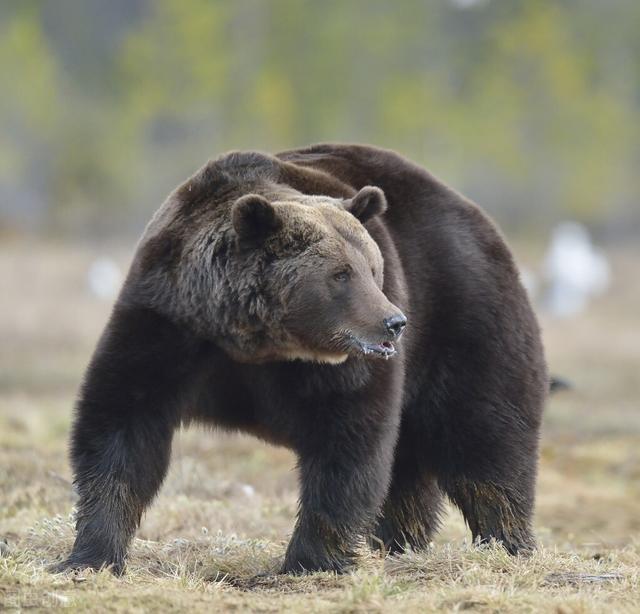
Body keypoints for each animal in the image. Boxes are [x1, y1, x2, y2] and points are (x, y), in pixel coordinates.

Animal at [52, 144, 548, 576]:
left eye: (374, 268)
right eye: (341, 274)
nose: (393, 322)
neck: (257, 340)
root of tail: (470, 210)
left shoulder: (341, 369)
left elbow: (348, 443)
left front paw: (313, 559)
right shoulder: (169, 323)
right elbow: (124, 424)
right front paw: (90, 555)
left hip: (464, 316)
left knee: (485, 437)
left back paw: (507, 541)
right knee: (412, 463)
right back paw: (398, 542)